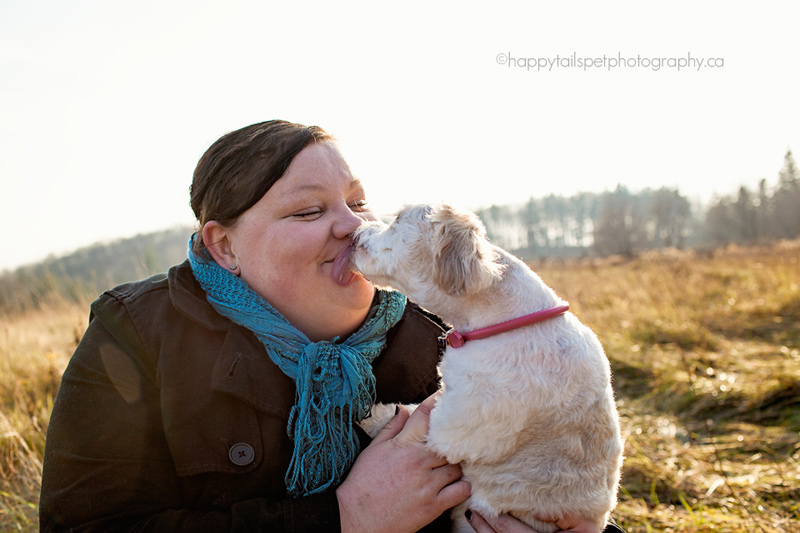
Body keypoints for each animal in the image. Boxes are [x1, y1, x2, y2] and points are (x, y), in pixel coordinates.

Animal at [346, 205, 620, 532]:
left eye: (398, 219)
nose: (355, 231)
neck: (501, 323)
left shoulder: (453, 427)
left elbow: (402, 414)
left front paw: (368, 414)